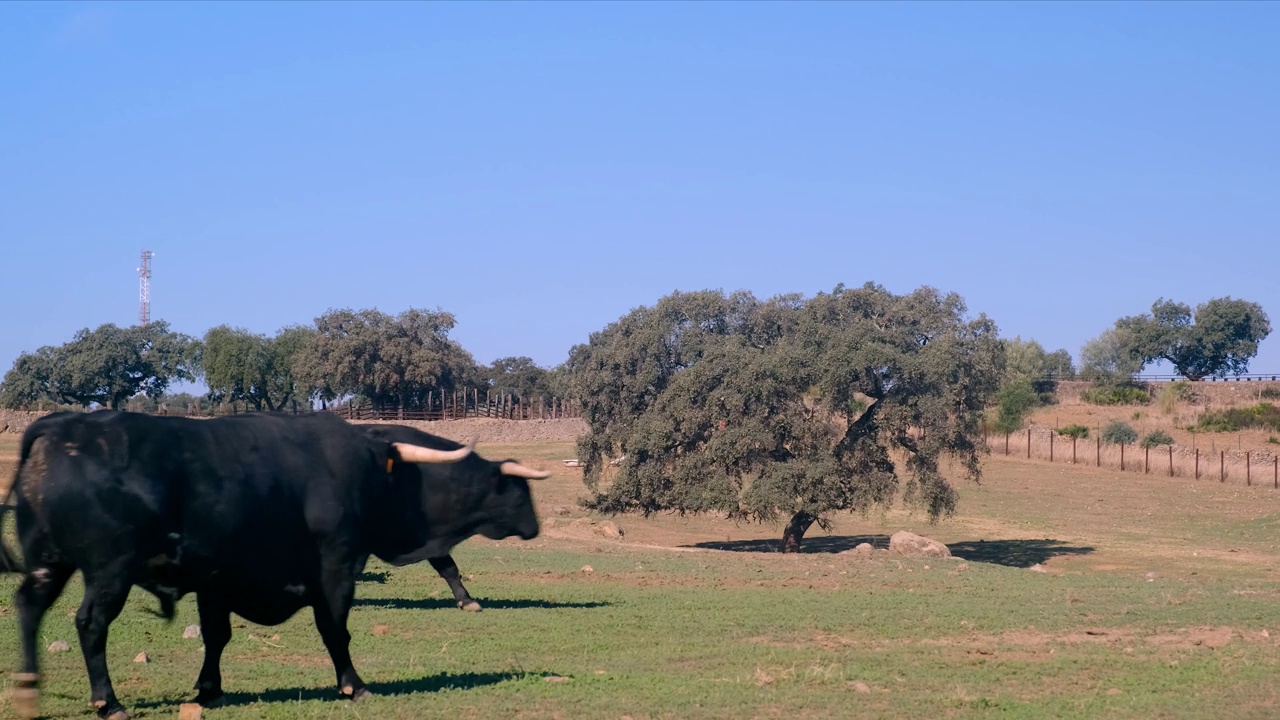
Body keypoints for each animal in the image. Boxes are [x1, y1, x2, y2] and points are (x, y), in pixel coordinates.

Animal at [0, 409, 545, 717]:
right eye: (517, 492)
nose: (536, 527)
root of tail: (60, 427)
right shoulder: (335, 566)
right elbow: (335, 629)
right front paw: (353, 685)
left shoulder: (217, 580)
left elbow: (216, 636)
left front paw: (209, 689)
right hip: (109, 571)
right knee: (90, 624)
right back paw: (107, 702)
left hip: (50, 563)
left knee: (28, 608)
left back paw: (28, 689)